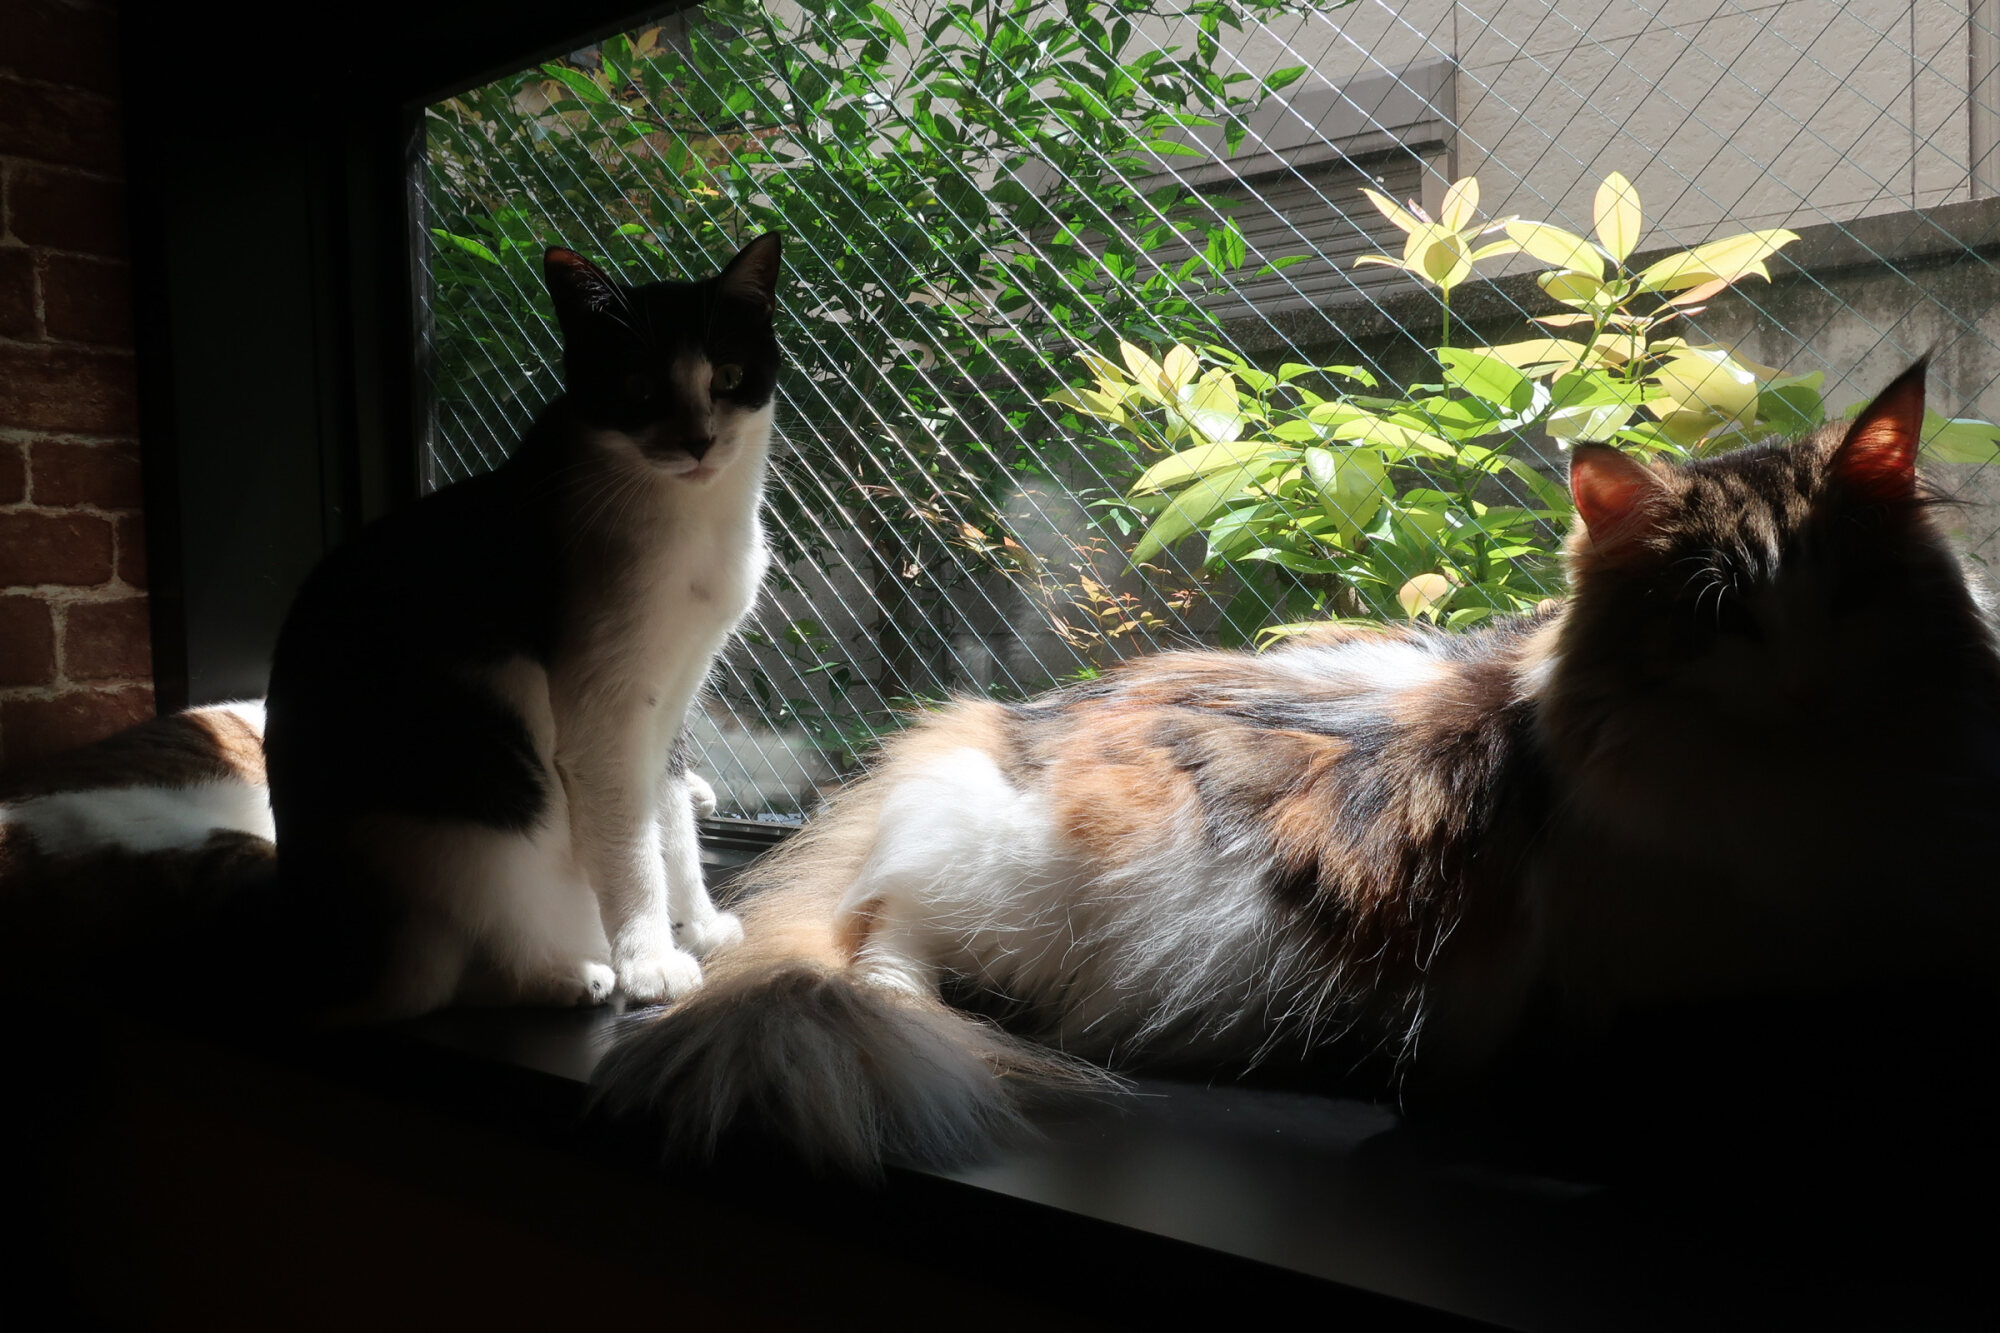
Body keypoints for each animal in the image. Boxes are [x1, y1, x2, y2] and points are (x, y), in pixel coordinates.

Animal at [593, 361, 2000, 1175]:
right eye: (1714, 615)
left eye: (1852, 597)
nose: (1803, 684)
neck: (1803, 810)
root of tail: (986, 722)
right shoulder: (1640, 980)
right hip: (1001, 870)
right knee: (877, 937)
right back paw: (921, 1009)